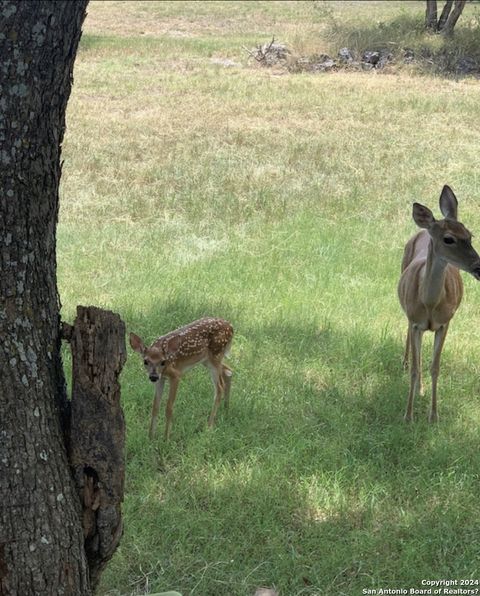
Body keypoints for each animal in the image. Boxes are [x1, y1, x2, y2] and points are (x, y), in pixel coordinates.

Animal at [398, 186, 480, 424]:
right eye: (449, 239)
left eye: (470, 235)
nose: (479, 267)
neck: (430, 304)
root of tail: (425, 229)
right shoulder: (416, 322)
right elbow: (416, 369)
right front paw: (408, 416)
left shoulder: (445, 323)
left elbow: (435, 367)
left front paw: (433, 415)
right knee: (409, 340)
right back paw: (405, 366)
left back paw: (421, 389)